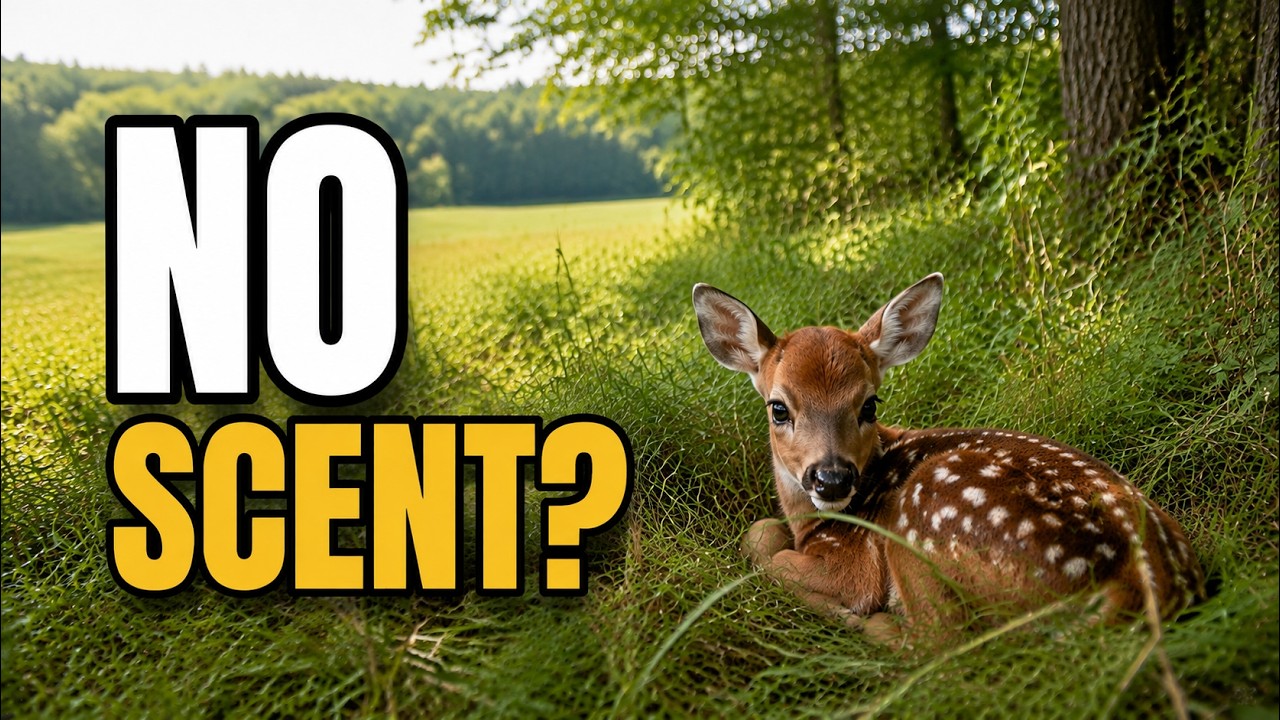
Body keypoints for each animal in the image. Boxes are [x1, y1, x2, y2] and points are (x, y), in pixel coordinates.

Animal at [692, 273, 1205, 640]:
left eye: (869, 404)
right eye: (778, 408)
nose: (832, 479)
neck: (813, 523)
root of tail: (1138, 585)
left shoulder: (850, 562)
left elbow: (770, 553)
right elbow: (761, 531)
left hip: (921, 518)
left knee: (944, 644)